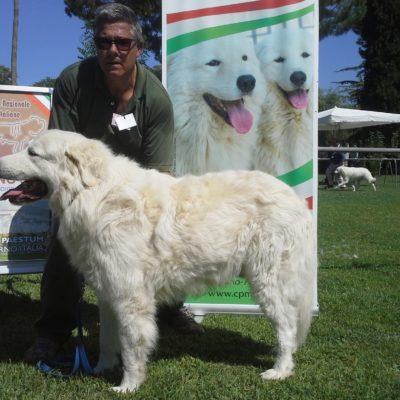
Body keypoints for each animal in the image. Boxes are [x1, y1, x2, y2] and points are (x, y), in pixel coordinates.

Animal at [0, 130, 315, 393]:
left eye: (33, 153)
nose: (0, 161)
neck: (93, 194)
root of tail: (294, 198)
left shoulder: (131, 296)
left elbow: (131, 344)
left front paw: (128, 385)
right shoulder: (108, 292)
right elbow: (107, 340)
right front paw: (100, 369)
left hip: (269, 281)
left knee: (287, 326)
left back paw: (280, 370)